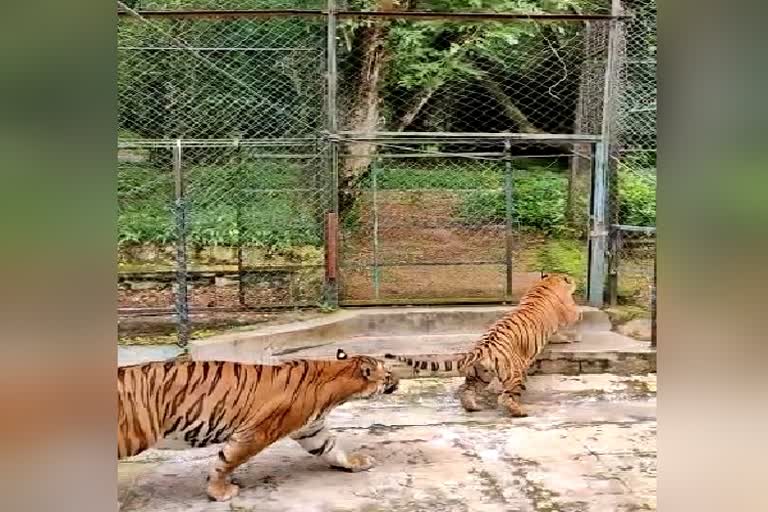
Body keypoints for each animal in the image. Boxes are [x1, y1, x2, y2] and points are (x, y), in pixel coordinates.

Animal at [118, 348, 402, 500]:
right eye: (388, 373)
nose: (398, 380)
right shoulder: (255, 433)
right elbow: (225, 462)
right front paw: (219, 492)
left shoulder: (312, 429)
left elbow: (332, 449)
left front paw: (356, 463)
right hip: (131, 435)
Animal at [384, 274, 584, 418]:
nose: (575, 281)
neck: (547, 283)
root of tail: (483, 347)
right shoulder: (568, 313)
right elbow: (565, 328)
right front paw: (572, 337)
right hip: (514, 374)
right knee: (505, 397)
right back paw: (520, 412)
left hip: (478, 375)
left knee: (466, 391)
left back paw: (472, 408)